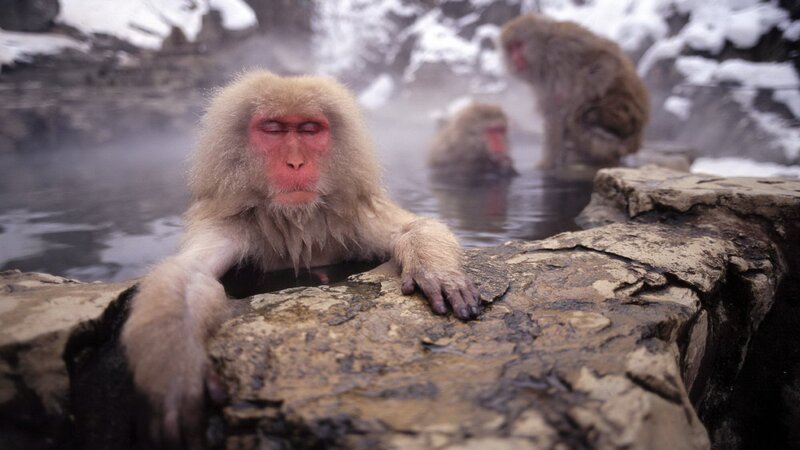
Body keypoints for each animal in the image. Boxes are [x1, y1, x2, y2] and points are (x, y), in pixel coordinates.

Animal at [120, 70, 481, 448]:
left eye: (309, 129)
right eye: (273, 129)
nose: (295, 162)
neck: (296, 221)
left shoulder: (353, 216)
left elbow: (413, 226)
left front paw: (437, 271)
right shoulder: (225, 226)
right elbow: (188, 275)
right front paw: (177, 373)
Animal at [500, 14, 650, 169]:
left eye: (518, 45)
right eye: (511, 49)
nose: (514, 58)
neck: (544, 53)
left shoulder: (563, 45)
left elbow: (605, 58)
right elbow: (551, 112)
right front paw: (549, 162)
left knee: (587, 113)